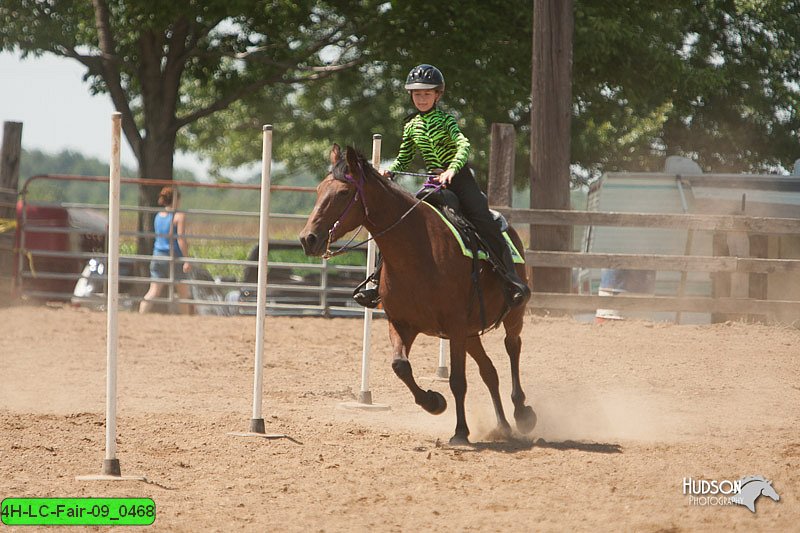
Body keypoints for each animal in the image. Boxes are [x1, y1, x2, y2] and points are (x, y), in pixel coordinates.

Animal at [300, 145, 536, 444]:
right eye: (319, 189)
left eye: (343, 192)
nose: (307, 239)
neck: (418, 250)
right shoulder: (403, 323)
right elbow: (400, 366)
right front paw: (434, 402)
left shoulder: (455, 326)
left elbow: (457, 380)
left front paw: (460, 432)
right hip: (471, 333)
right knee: (489, 372)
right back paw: (503, 426)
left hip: (512, 315)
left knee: (512, 347)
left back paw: (522, 413)